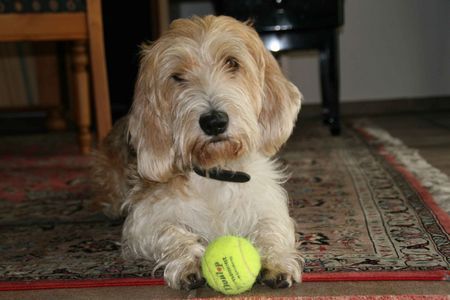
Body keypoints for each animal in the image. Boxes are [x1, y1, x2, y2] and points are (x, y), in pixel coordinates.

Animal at [94, 14, 306, 290]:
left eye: (232, 62)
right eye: (177, 76)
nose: (214, 122)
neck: (215, 171)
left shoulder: (268, 206)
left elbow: (271, 229)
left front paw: (277, 262)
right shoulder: (142, 222)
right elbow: (172, 233)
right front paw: (189, 262)